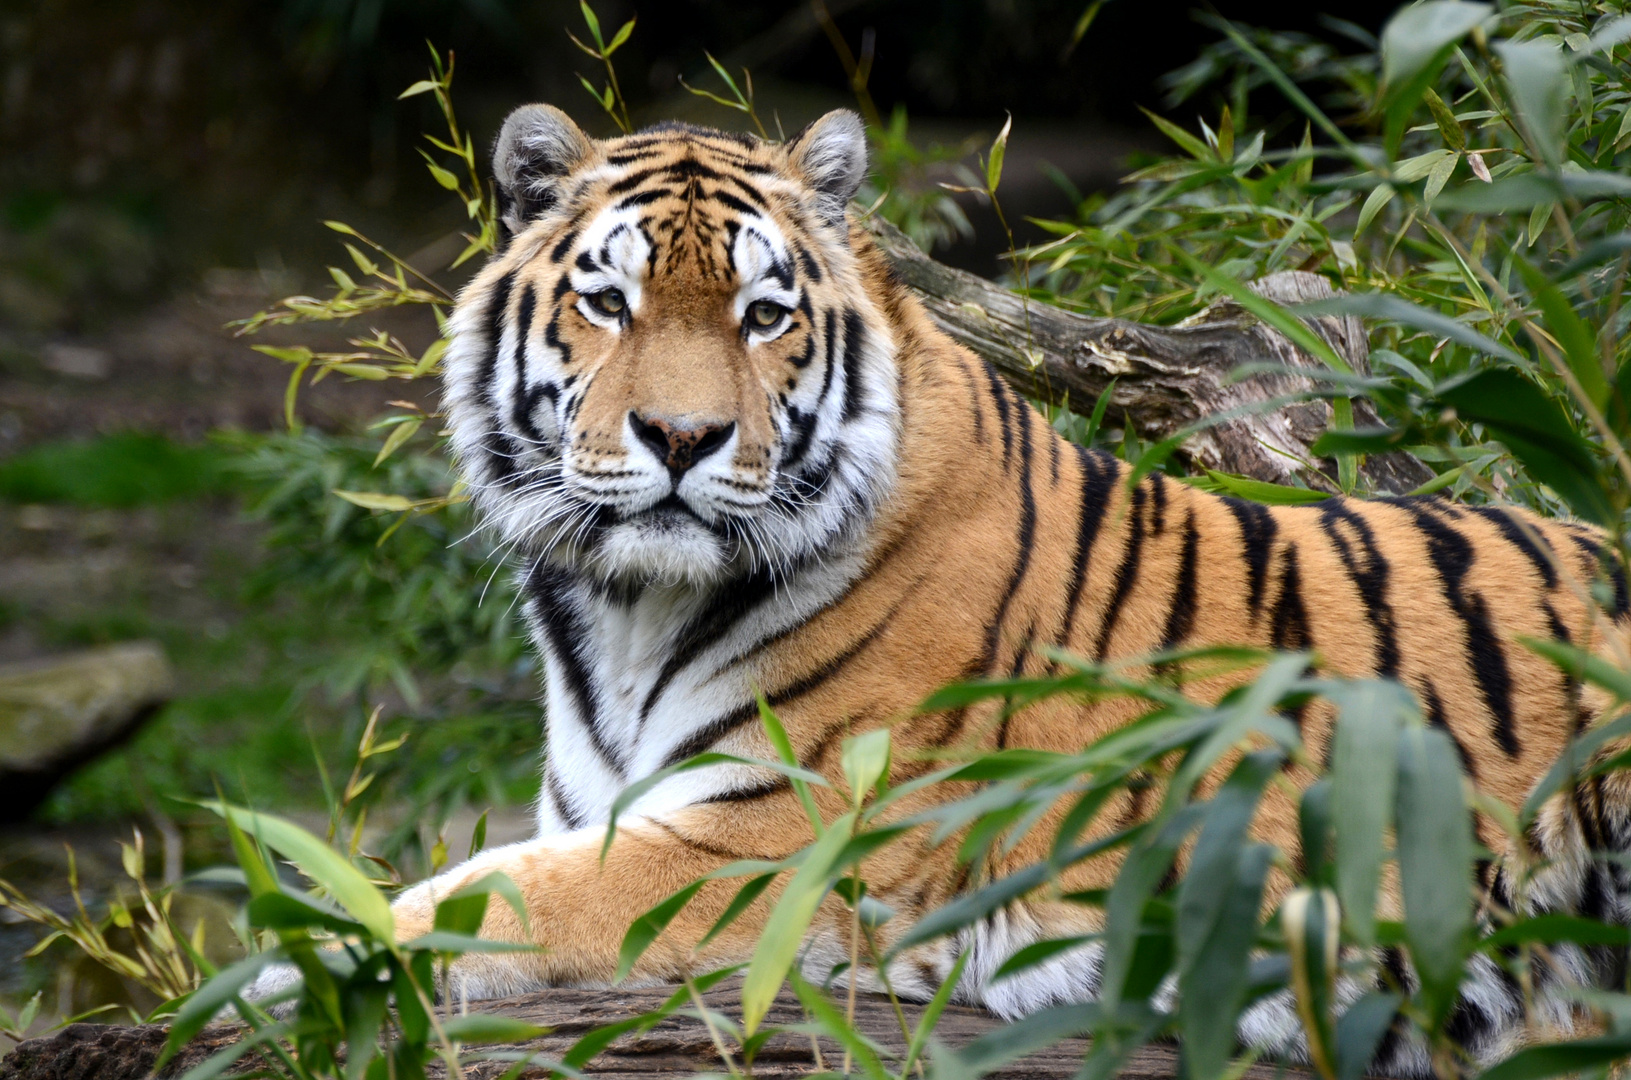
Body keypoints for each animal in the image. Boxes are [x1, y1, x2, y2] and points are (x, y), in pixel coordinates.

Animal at [375, 103, 1624, 1076]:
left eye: (763, 316)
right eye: (609, 305)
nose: (682, 437)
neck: (625, 611)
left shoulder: (768, 840)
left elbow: (475, 903)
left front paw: (339, 948)